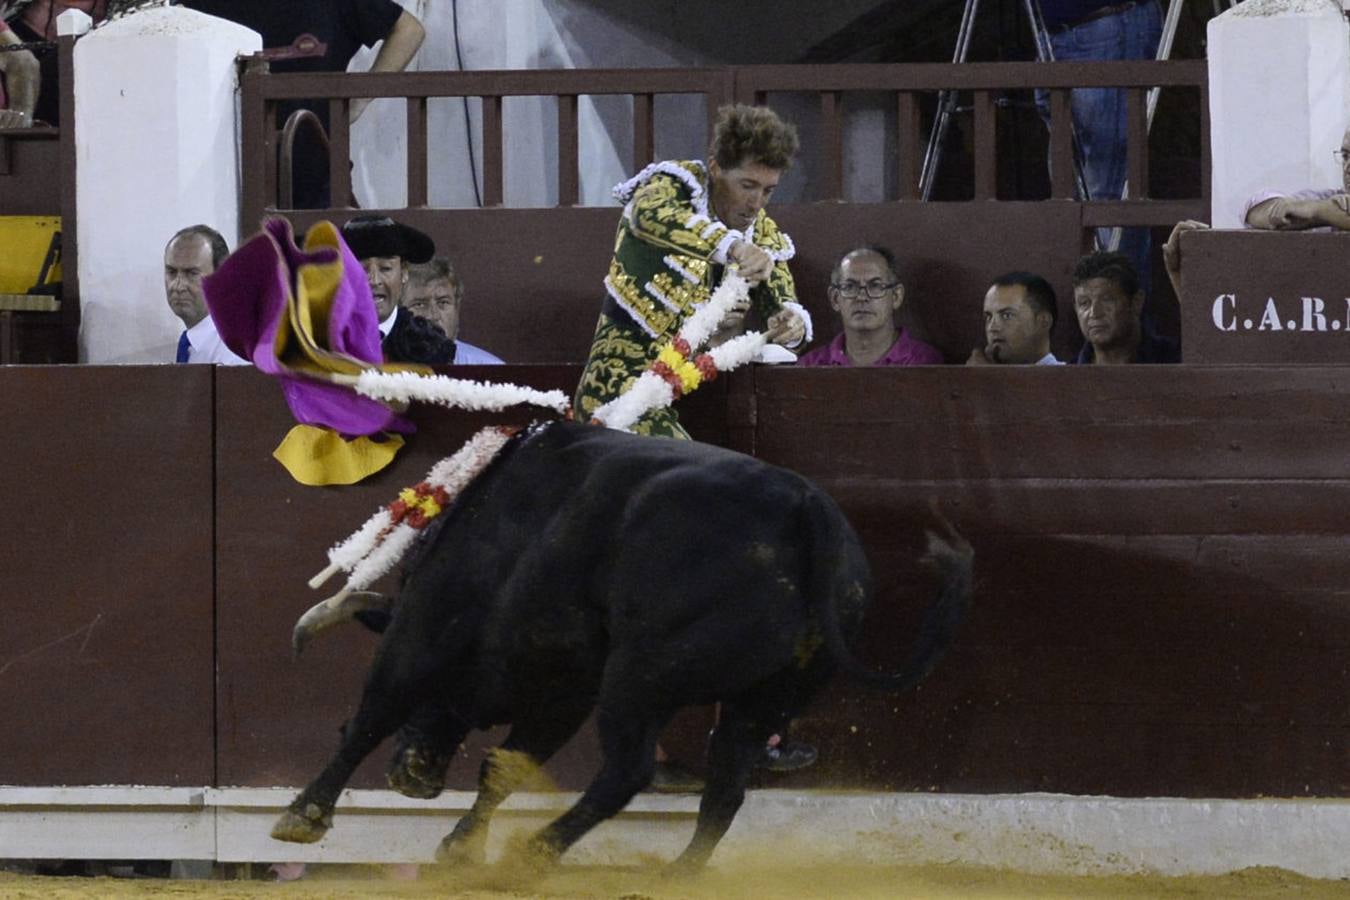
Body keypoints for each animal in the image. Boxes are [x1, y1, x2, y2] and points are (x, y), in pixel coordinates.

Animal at [274, 423, 972, 874]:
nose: (414, 777)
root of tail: (808, 512)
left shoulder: (426, 636)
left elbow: (372, 715)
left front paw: (303, 817)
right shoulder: (564, 689)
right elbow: (507, 767)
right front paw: (458, 851)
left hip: (641, 678)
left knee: (628, 770)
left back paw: (534, 855)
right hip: (763, 700)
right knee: (724, 788)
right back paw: (673, 878)